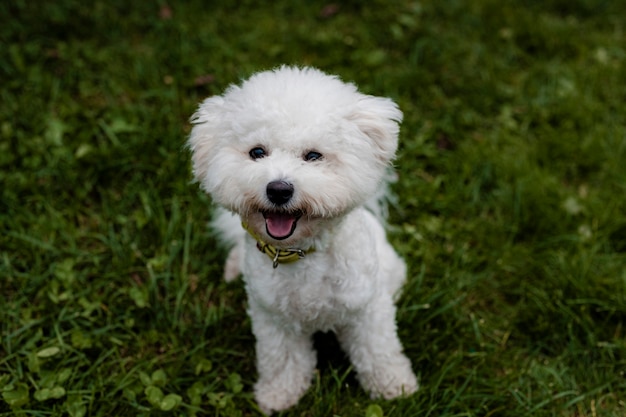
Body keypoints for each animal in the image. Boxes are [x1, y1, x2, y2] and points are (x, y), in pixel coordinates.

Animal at [188, 66, 416, 412]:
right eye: (257, 152)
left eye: (313, 156)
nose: (278, 189)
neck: (301, 252)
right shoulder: (273, 320)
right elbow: (282, 360)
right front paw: (279, 395)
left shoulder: (367, 310)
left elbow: (379, 352)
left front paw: (394, 386)